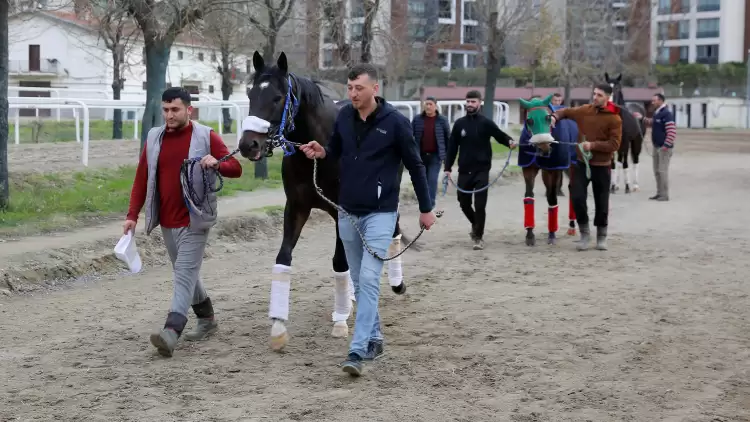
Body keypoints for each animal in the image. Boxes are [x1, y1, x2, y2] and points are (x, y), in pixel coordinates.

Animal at [238, 51, 412, 352]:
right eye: (251, 93)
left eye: (277, 97)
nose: (249, 145)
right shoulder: (296, 208)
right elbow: (283, 258)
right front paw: (278, 325)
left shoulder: (341, 210)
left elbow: (340, 261)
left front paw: (341, 319)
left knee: (394, 230)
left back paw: (396, 283)